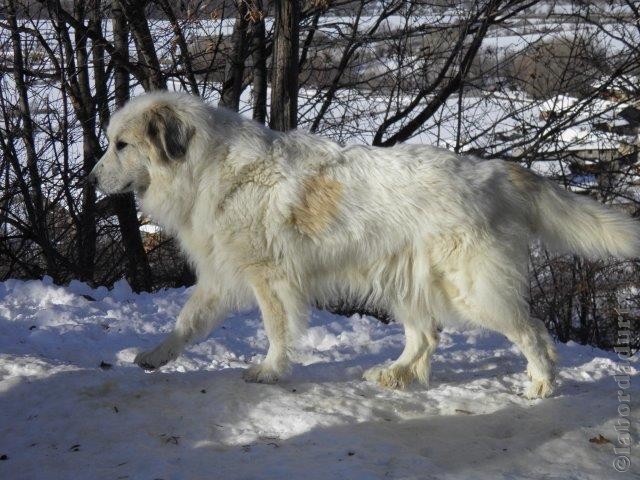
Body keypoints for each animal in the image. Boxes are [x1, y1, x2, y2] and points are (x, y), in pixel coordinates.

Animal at [90, 92, 640, 400]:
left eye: (121, 145)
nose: (91, 179)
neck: (206, 166)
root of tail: (494, 171)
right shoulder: (223, 275)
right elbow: (187, 322)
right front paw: (154, 357)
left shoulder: (270, 278)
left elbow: (276, 330)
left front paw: (270, 371)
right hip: (403, 279)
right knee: (425, 337)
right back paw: (396, 375)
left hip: (474, 290)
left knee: (534, 332)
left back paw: (542, 384)